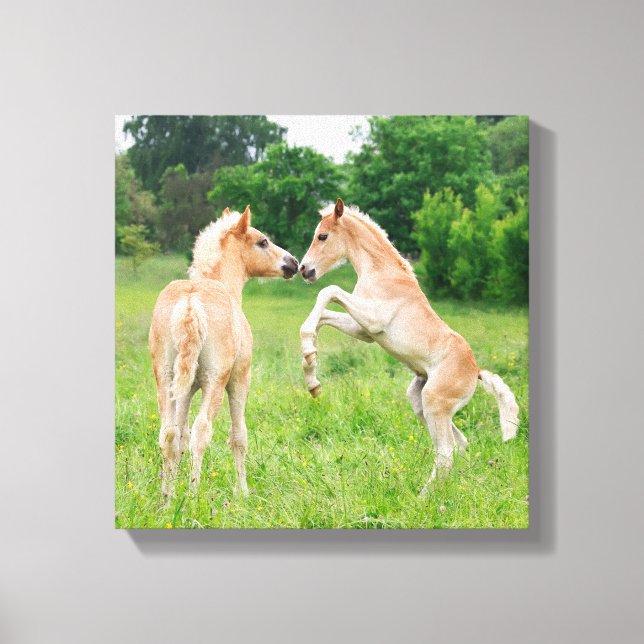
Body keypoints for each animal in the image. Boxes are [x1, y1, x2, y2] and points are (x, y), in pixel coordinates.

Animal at [148, 206, 299, 500]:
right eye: (263, 242)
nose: (293, 263)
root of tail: (190, 302)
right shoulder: (239, 379)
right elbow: (238, 436)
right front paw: (243, 492)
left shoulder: (186, 389)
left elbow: (180, 436)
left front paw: (174, 485)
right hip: (215, 382)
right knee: (201, 431)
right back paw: (193, 496)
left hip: (166, 379)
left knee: (169, 434)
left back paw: (166, 499)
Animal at [298, 198, 519, 495]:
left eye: (322, 236)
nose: (304, 269)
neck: (382, 272)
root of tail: (476, 372)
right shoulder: (364, 330)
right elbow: (323, 316)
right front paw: (311, 371)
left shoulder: (373, 319)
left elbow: (328, 291)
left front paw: (310, 360)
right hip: (420, 400)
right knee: (458, 444)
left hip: (435, 403)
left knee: (446, 451)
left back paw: (423, 498)